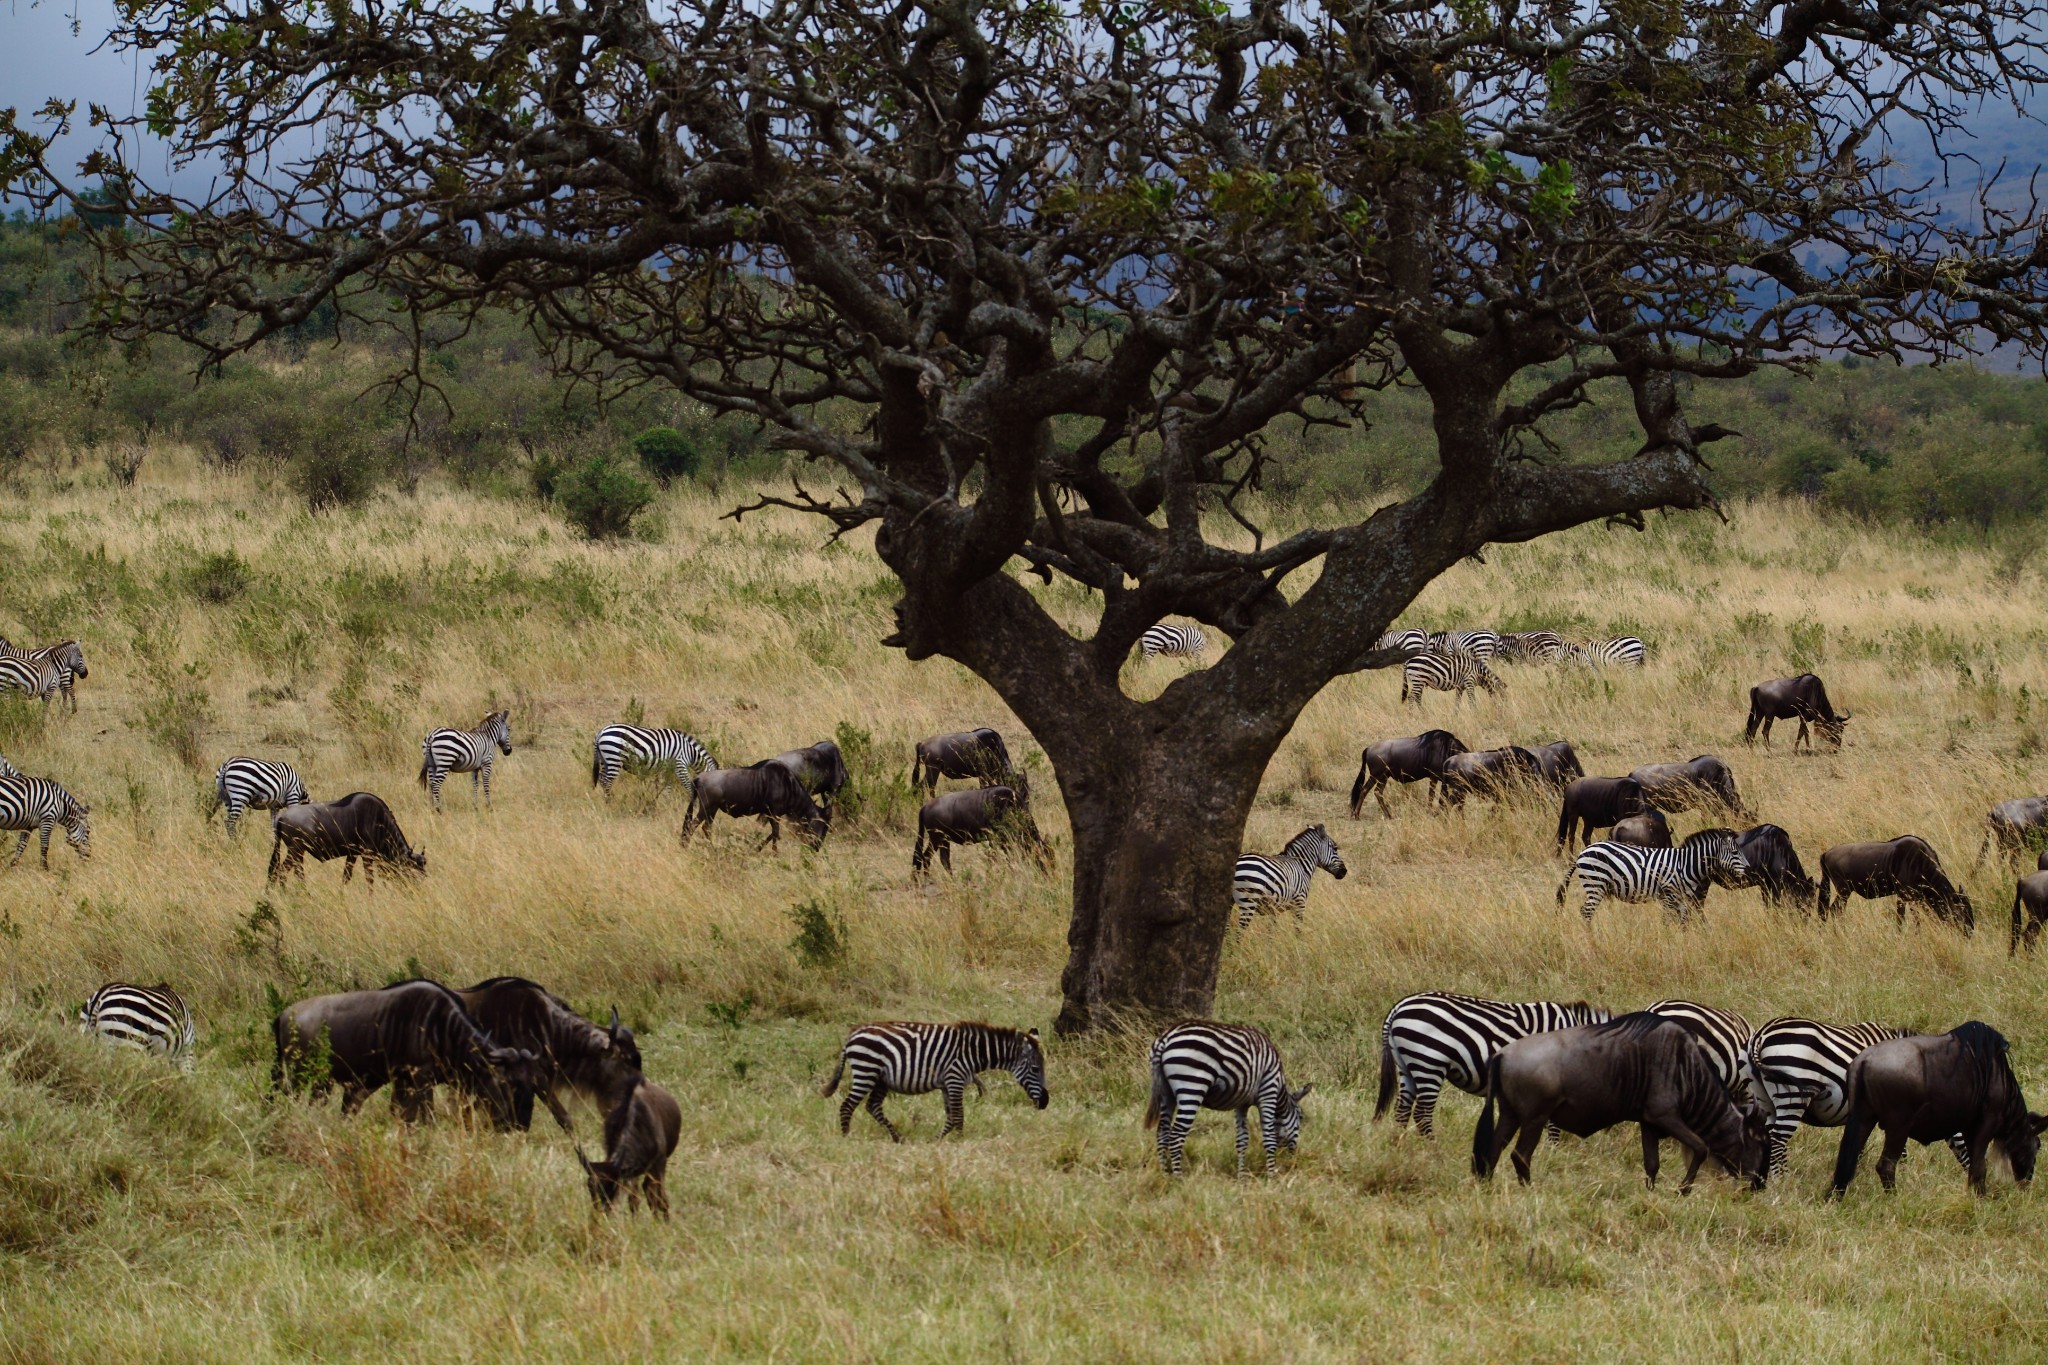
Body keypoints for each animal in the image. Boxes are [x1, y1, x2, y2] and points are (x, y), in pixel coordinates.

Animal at [815, 1019, 1048, 1137]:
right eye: (1036, 1069)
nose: (1045, 1103)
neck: (973, 1052)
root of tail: (852, 1036)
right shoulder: (955, 1079)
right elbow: (959, 1117)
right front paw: (960, 1143)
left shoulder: (947, 1085)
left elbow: (951, 1118)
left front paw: (938, 1142)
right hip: (866, 1071)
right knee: (847, 1106)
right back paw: (847, 1137)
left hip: (881, 1079)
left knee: (872, 1107)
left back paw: (897, 1138)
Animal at [1138, 1019, 1310, 1178]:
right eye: (1301, 1117)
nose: (1293, 1156)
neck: (1279, 1084)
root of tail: (1165, 1038)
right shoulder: (1268, 1091)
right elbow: (1269, 1138)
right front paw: (1272, 1177)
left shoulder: (1241, 1103)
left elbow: (1242, 1140)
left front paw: (1241, 1177)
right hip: (1192, 1086)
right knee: (1176, 1135)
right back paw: (1178, 1179)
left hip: (1166, 1093)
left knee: (1162, 1132)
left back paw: (1165, 1175)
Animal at [1376, 994, 1613, 1146]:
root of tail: (1399, 1007)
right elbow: (1552, 1126)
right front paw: (1551, 1153)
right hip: (1429, 1061)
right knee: (1422, 1113)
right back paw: (1434, 1150)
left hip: (1406, 1064)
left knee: (1402, 1109)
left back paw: (1399, 1147)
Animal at [1548, 826, 1744, 925]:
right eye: (1735, 852)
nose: (1748, 869)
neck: (1685, 865)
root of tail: (1582, 852)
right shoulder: (1668, 895)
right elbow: (1666, 921)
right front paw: (1667, 943)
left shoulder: (1679, 899)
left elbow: (1683, 920)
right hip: (1595, 883)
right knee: (1586, 912)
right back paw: (1592, 941)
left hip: (1599, 886)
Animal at [1744, 1015, 1966, 1186]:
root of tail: (1762, 1035)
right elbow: (1897, 1151)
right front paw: (1901, 1175)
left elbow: (1858, 1147)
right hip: (1793, 1094)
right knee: (1778, 1139)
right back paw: (1781, 1182)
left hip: (1765, 1099)